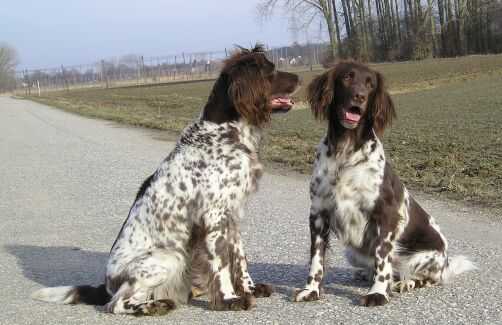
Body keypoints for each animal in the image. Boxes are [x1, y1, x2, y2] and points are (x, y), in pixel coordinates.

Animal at [33, 45, 300, 314]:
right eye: (271, 70)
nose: (299, 78)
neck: (225, 132)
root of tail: (106, 284)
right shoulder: (214, 216)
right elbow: (221, 264)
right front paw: (229, 299)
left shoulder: (232, 215)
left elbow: (240, 258)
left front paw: (249, 289)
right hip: (168, 258)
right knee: (116, 303)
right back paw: (154, 306)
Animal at [292, 61, 472, 306]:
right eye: (347, 77)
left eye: (370, 84)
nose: (359, 96)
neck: (345, 151)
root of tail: (446, 262)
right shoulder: (319, 213)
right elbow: (316, 258)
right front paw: (311, 289)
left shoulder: (384, 215)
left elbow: (382, 258)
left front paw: (377, 293)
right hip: (352, 252)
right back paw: (364, 274)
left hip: (424, 257)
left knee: (423, 277)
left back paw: (404, 283)